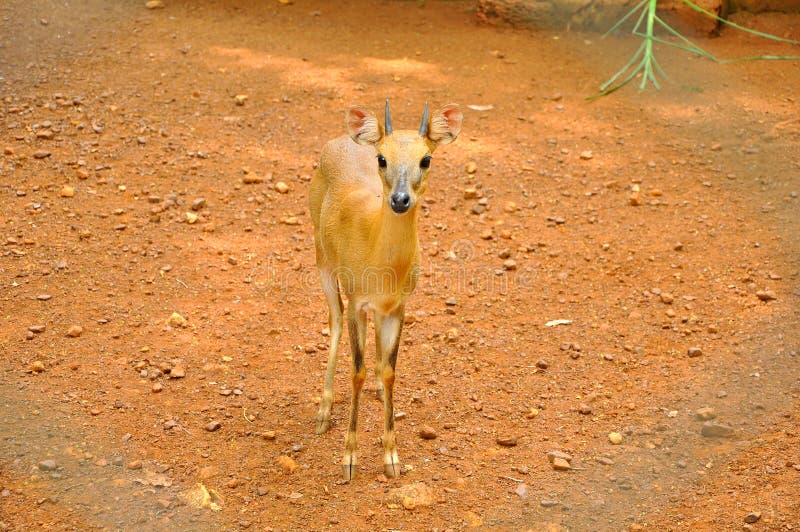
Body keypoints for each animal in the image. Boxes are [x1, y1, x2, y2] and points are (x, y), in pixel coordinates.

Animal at [309, 100, 462, 480]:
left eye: (427, 159)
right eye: (381, 158)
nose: (400, 199)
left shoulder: (398, 306)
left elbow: (391, 371)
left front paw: (391, 455)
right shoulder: (356, 300)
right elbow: (357, 371)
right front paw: (349, 458)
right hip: (322, 260)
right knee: (333, 322)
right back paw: (323, 412)